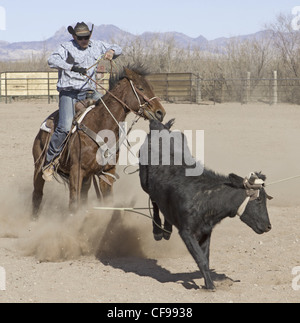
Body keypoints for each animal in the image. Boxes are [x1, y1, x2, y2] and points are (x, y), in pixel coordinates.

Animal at [32, 66, 166, 219]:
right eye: (140, 88)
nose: (161, 112)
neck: (100, 125)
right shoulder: (76, 171)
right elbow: (73, 204)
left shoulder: (107, 172)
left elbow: (107, 202)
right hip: (39, 165)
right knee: (37, 194)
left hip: (87, 178)